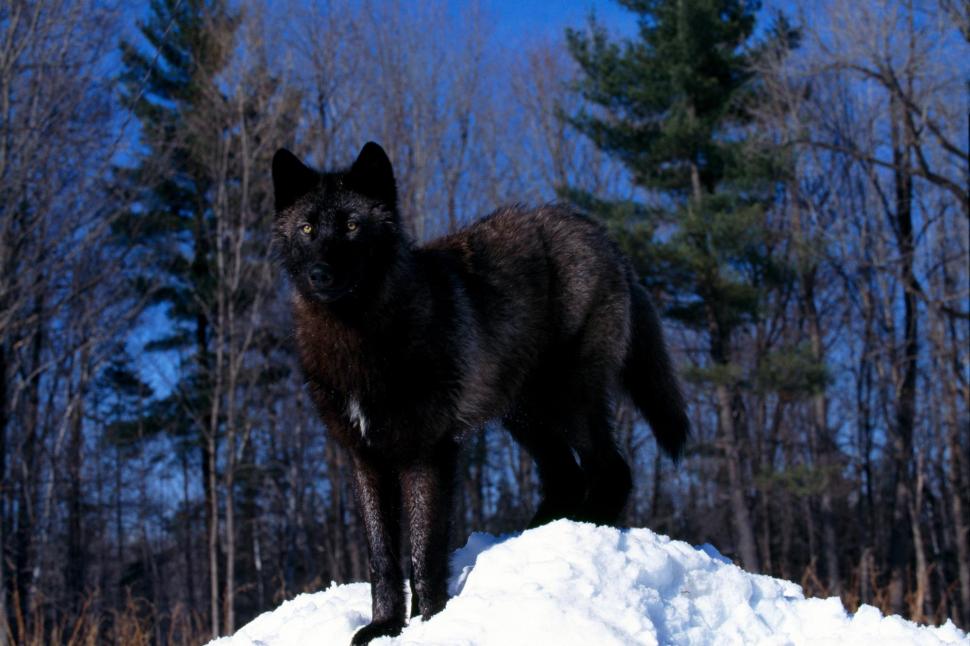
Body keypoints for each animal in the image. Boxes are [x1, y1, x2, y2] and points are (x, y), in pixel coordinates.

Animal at [271, 142, 689, 645]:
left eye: (352, 225)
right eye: (308, 228)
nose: (320, 274)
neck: (360, 339)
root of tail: (600, 233)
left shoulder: (427, 452)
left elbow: (425, 549)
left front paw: (432, 621)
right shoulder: (365, 458)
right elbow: (382, 558)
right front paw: (385, 626)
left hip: (570, 400)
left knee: (612, 470)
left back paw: (588, 524)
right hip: (525, 415)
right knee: (566, 477)